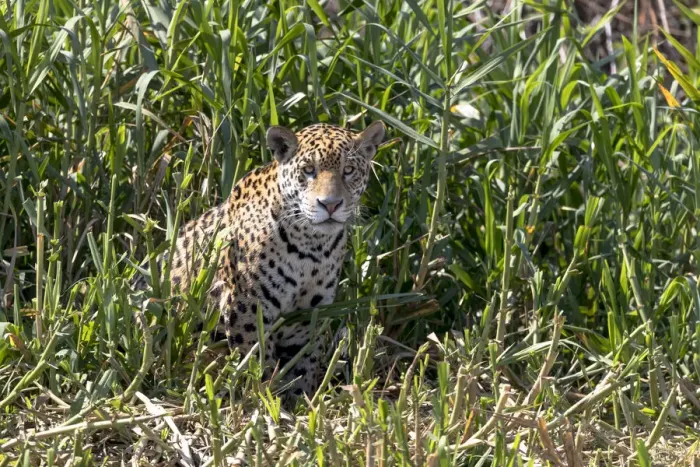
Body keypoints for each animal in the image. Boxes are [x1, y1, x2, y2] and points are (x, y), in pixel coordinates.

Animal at [138, 120, 386, 399]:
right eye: (309, 170)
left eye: (349, 170)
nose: (330, 204)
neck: (312, 249)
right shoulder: (246, 304)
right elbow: (256, 360)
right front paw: (260, 397)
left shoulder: (309, 312)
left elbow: (305, 363)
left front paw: (300, 399)